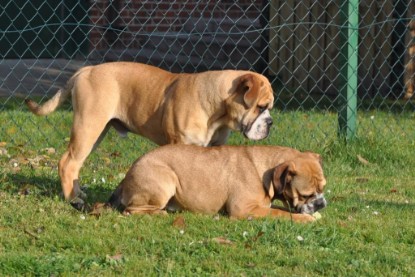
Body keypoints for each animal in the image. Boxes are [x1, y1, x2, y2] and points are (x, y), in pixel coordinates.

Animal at [24, 62, 274, 205]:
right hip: (88, 126)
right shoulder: (179, 144)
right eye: (261, 107)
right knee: (67, 162)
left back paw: (77, 194)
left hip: (96, 131)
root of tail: (88, 69)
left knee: (75, 164)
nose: (271, 122)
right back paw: (72, 199)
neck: (217, 110)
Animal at [108, 144, 328, 222]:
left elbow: (279, 209)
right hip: (165, 181)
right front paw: (306, 218)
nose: (321, 203)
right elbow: (280, 213)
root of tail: (127, 175)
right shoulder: (243, 209)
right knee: (130, 210)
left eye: (323, 189)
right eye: (306, 195)